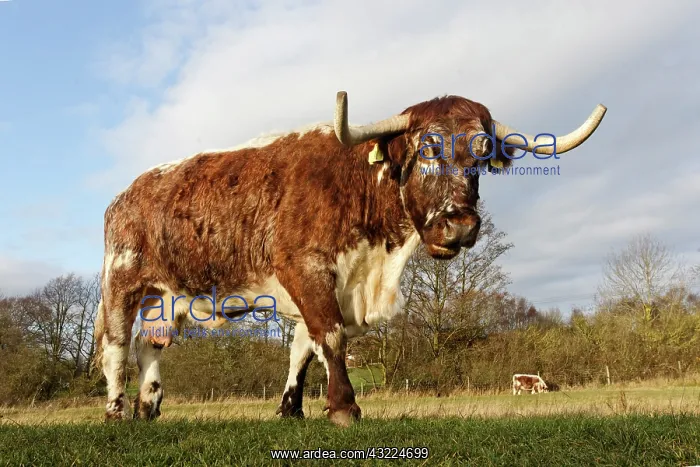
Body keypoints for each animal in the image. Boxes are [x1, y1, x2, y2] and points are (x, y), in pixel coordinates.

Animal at [93, 91, 605, 426]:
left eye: (481, 156)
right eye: (426, 147)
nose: (460, 225)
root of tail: (127, 192)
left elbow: (303, 348)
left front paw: (292, 411)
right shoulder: (307, 269)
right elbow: (331, 337)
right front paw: (344, 407)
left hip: (169, 297)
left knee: (149, 346)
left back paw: (148, 407)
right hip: (121, 282)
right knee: (116, 347)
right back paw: (116, 413)